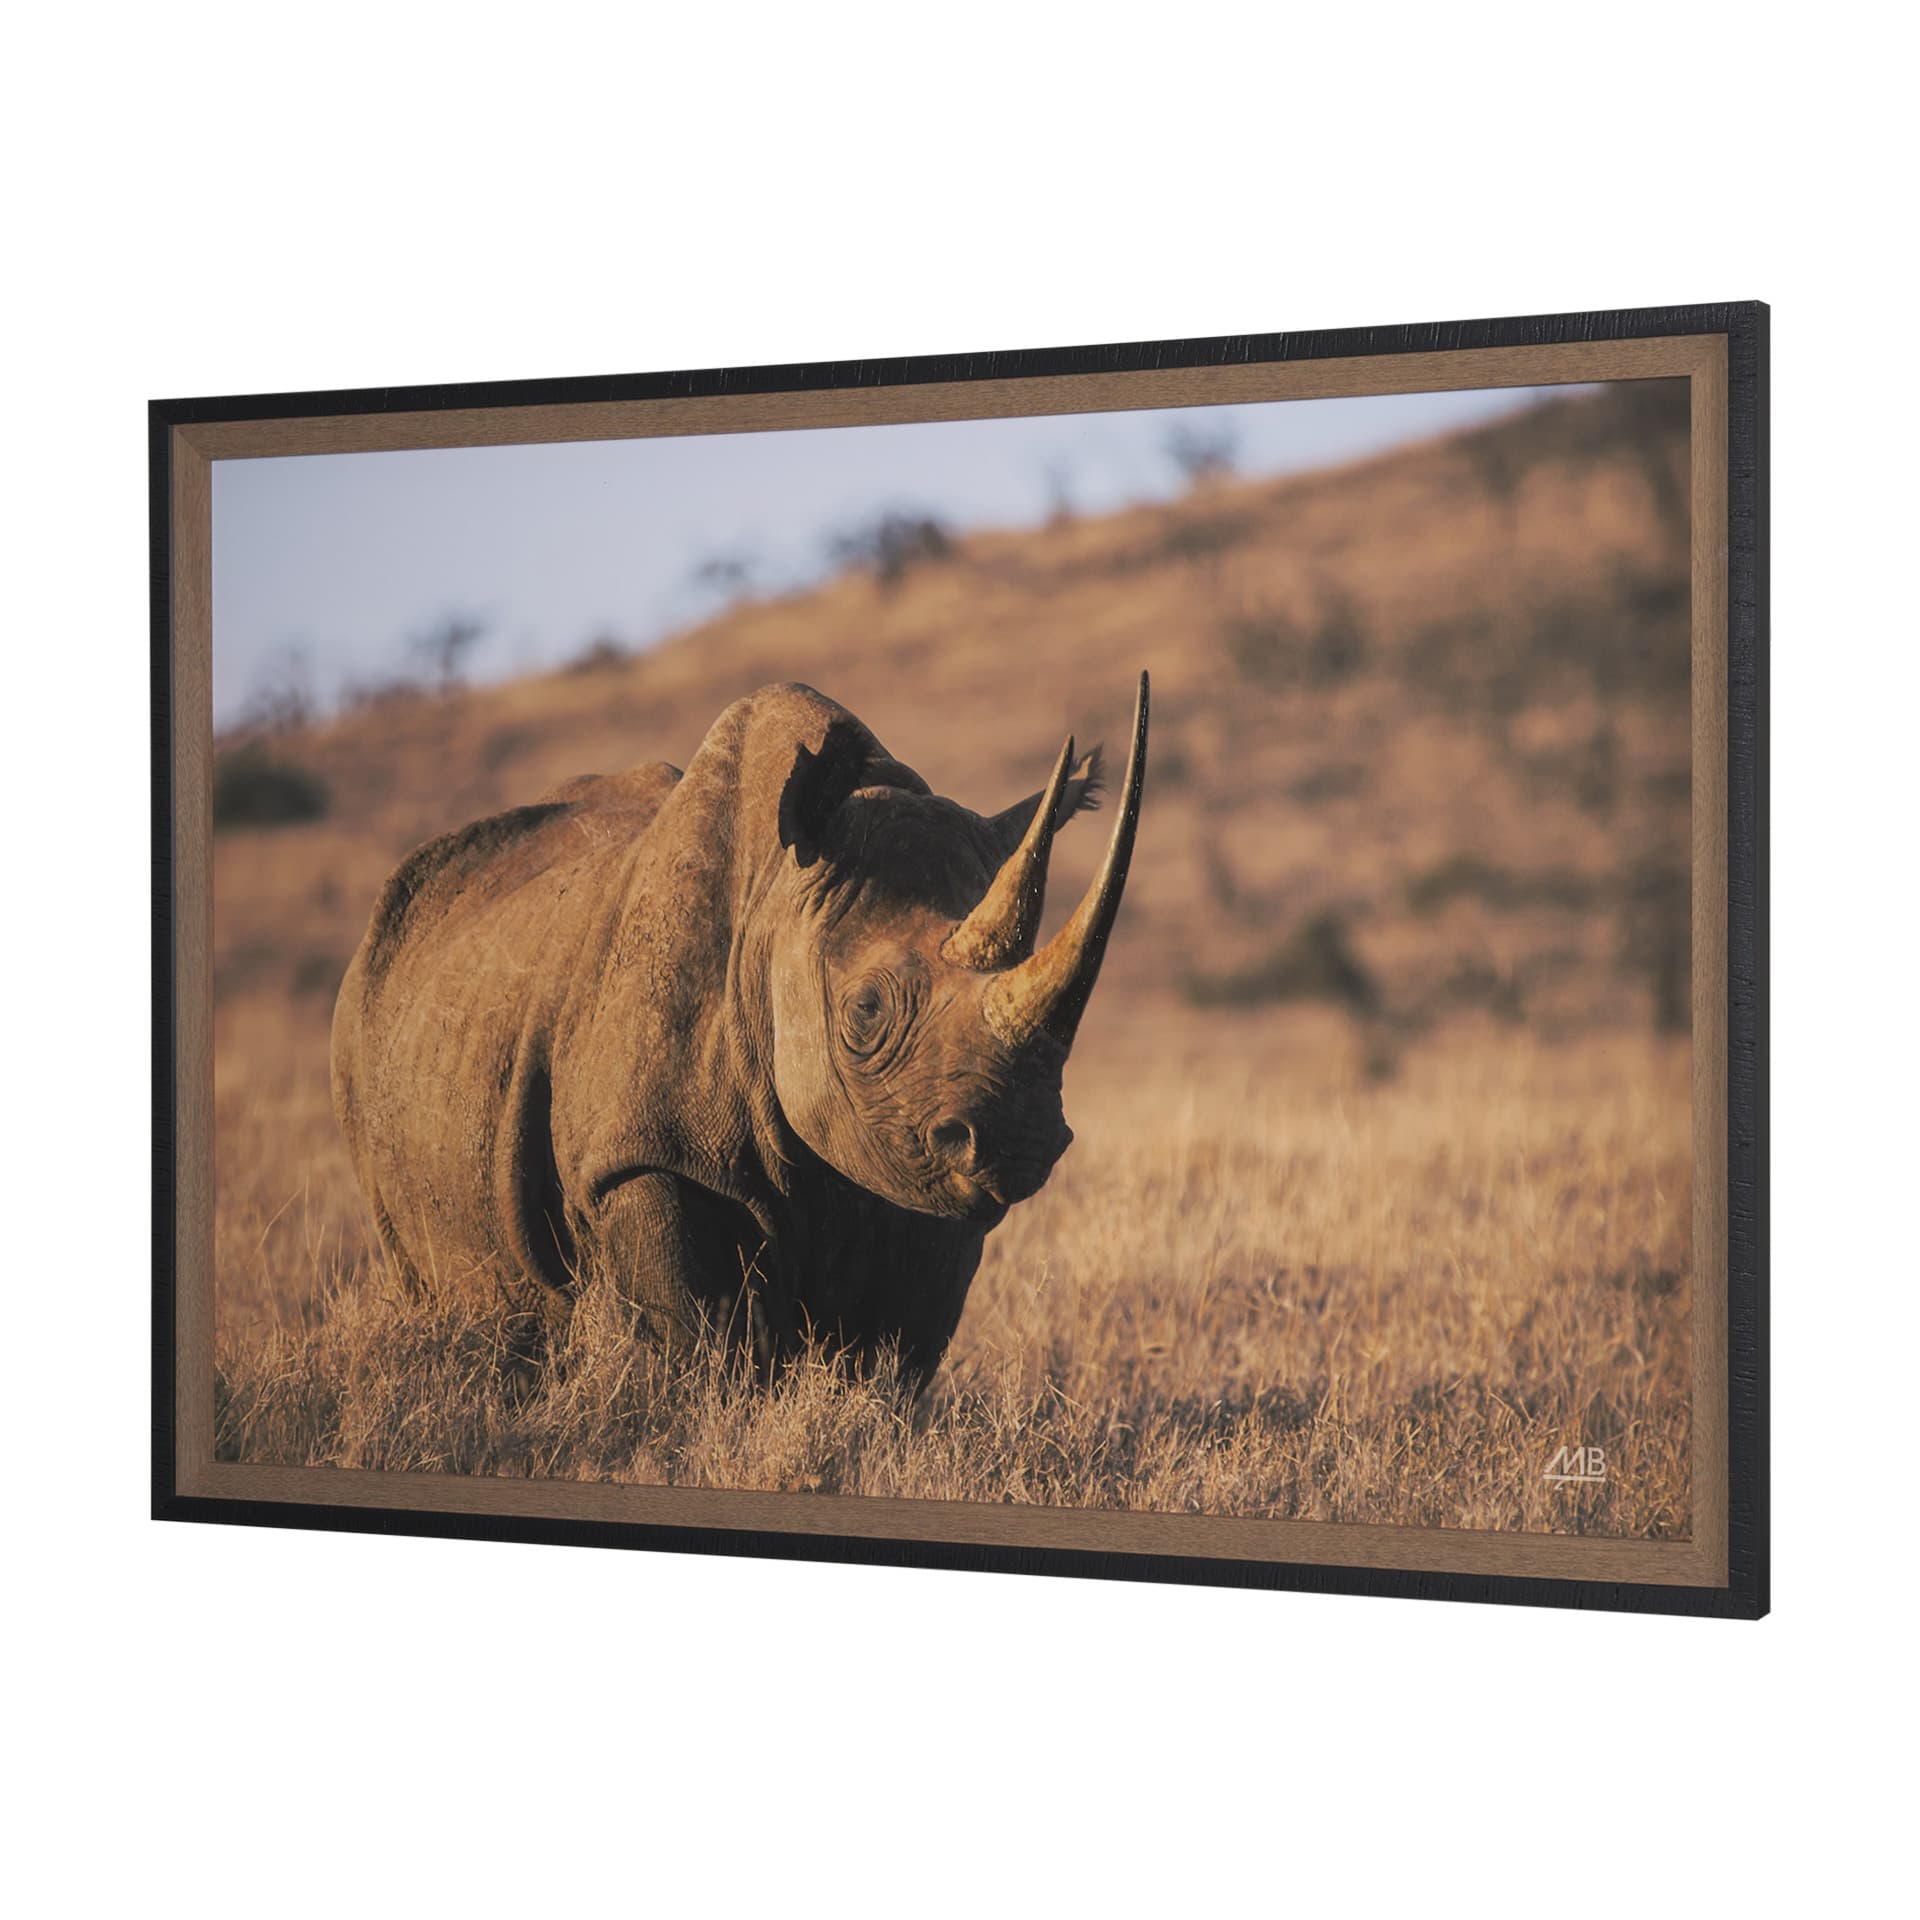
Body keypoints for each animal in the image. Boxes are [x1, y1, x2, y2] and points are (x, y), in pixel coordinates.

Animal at [331, 672, 1148, 1382]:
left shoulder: (920, 1178)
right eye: (866, 1011)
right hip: (362, 1032)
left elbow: (893, 1356)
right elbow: (704, 1337)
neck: (778, 904)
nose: (1019, 1141)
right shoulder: (643, 1151)